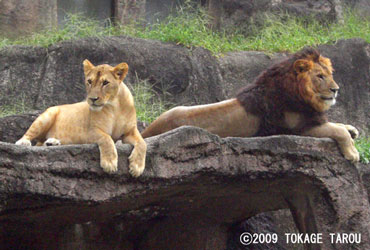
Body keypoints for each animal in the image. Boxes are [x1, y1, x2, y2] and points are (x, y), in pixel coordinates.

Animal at [16, 59, 147, 177]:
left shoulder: (130, 131)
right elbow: (106, 138)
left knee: (42, 143)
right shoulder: (91, 131)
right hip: (47, 115)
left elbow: (142, 143)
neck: (115, 106)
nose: (92, 99)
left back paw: (52, 142)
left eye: (105, 83)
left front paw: (137, 167)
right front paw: (109, 163)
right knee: (30, 136)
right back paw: (24, 142)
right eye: (89, 81)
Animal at [142, 48, 358, 162]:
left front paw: (352, 129)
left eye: (330, 74)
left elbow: (338, 125)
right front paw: (353, 152)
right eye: (320, 76)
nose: (336, 89)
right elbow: (337, 130)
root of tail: (146, 132)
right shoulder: (298, 128)